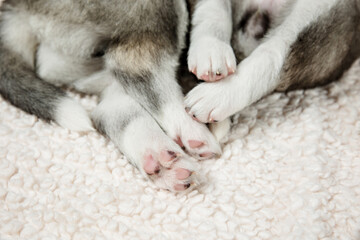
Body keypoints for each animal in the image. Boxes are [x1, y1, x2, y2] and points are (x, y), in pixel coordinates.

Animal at [0, 0, 222, 191]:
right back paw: (190, 130)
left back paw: (159, 158)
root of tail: (15, 6)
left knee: (105, 102)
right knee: (134, 65)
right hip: (149, 10)